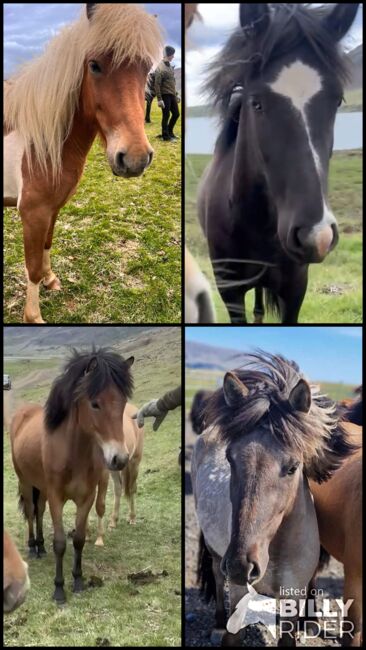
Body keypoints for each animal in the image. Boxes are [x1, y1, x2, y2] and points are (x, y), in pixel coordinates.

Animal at [3, 2, 162, 322]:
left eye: (146, 69)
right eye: (95, 65)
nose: (135, 158)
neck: (44, 141)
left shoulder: (52, 208)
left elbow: (47, 245)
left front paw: (51, 280)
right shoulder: (32, 213)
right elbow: (32, 266)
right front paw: (33, 316)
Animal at [10, 350, 135, 604]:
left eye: (123, 403)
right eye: (95, 404)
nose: (119, 458)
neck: (74, 453)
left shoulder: (86, 497)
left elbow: (78, 539)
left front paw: (78, 581)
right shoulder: (57, 497)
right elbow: (60, 543)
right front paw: (59, 590)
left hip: (41, 488)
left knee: (39, 511)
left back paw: (41, 547)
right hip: (26, 482)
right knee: (31, 511)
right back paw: (32, 546)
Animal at [193, 352, 358, 644]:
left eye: (293, 467)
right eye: (230, 459)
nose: (240, 565)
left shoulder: (294, 594)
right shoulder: (238, 590)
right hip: (215, 552)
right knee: (215, 573)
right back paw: (218, 623)